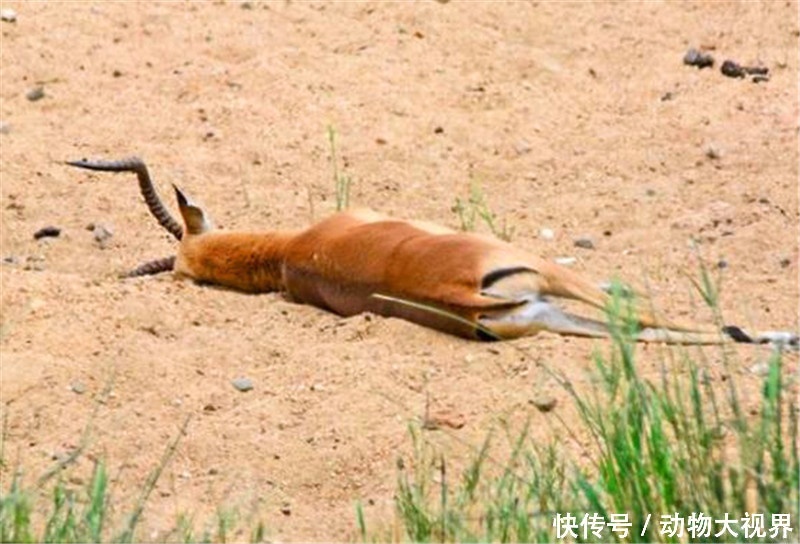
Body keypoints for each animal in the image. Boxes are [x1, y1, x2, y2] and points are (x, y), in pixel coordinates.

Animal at [65, 156, 796, 348]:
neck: (291, 250)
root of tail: (451, 290)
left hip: (542, 313)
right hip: (549, 277)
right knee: (646, 313)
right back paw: (769, 336)